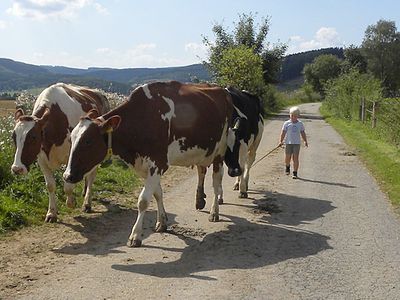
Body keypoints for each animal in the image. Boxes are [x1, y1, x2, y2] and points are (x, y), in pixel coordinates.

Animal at [11, 83, 110, 221]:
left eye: (33, 137)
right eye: (13, 137)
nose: (17, 169)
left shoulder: (71, 155)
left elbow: (68, 185)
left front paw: (71, 202)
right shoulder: (41, 158)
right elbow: (50, 185)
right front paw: (51, 213)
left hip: (94, 154)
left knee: (91, 176)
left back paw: (87, 203)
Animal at [61, 81, 239, 247]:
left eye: (88, 141)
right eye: (71, 139)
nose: (67, 175)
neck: (143, 119)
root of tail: (221, 89)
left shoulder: (158, 163)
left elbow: (143, 201)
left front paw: (135, 236)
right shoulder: (145, 166)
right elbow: (157, 193)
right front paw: (162, 222)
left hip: (220, 151)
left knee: (216, 182)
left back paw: (214, 212)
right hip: (203, 152)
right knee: (202, 171)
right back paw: (200, 201)